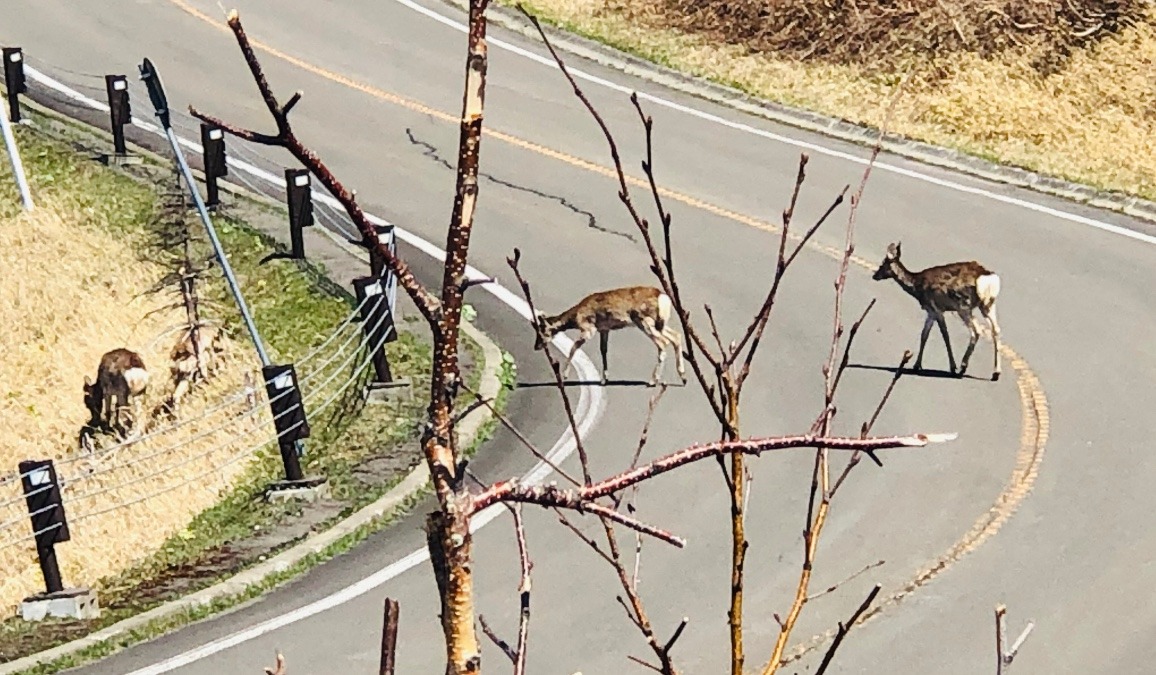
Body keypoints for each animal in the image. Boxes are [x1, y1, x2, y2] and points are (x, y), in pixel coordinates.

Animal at [534, 284, 684, 388]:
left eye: (542, 331)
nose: (536, 346)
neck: (575, 317)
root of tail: (663, 297)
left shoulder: (589, 328)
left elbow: (573, 347)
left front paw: (564, 376)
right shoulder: (604, 329)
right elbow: (603, 350)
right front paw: (604, 379)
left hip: (644, 320)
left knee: (663, 343)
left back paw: (653, 381)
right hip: (659, 323)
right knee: (676, 336)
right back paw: (683, 377)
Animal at [869, 241, 998, 379]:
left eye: (883, 264)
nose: (874, 276)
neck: (916, 286)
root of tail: (987, 278)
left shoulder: (937, 309)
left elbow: (945, 335)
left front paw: (952, 367)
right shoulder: (930, 312)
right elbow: (924, 334)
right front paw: (917, 365)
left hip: (963, 306)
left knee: (976, 331)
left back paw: (962, 368)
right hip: (987, 305)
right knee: (996, 330)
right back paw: (995, 373)